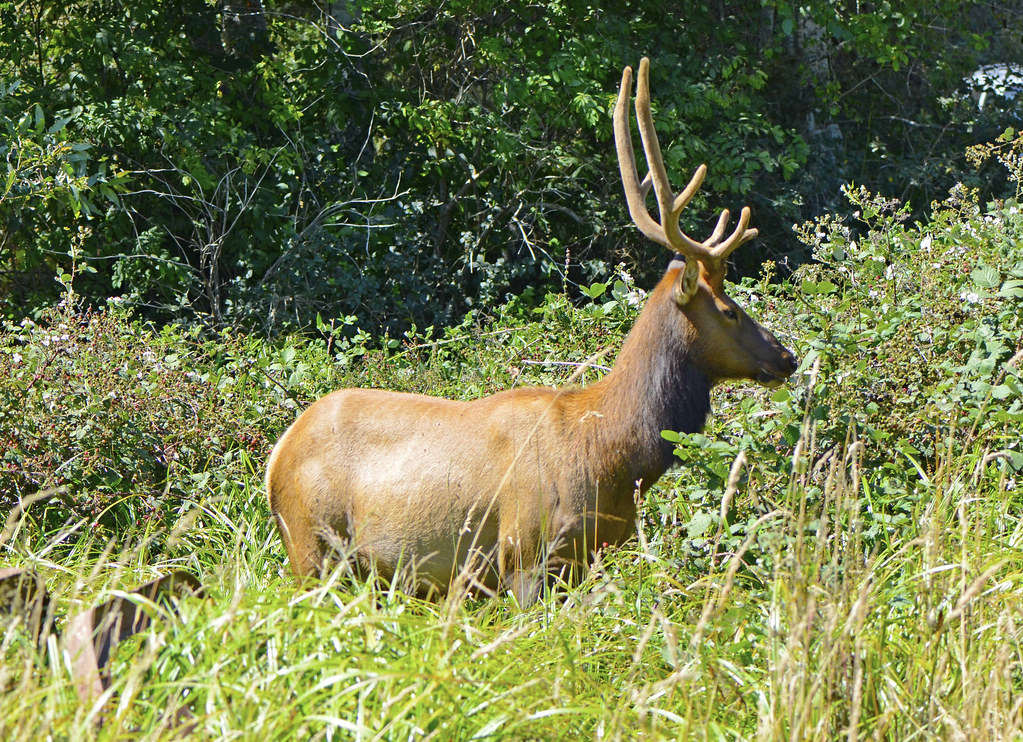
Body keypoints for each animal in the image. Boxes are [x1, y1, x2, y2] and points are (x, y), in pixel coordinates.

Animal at [265, 58, 799, 605]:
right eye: (730, 310)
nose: (786, 357)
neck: (610, 455)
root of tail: (275, 456)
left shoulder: (586, 558)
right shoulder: (524, 551)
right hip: (313, 546)